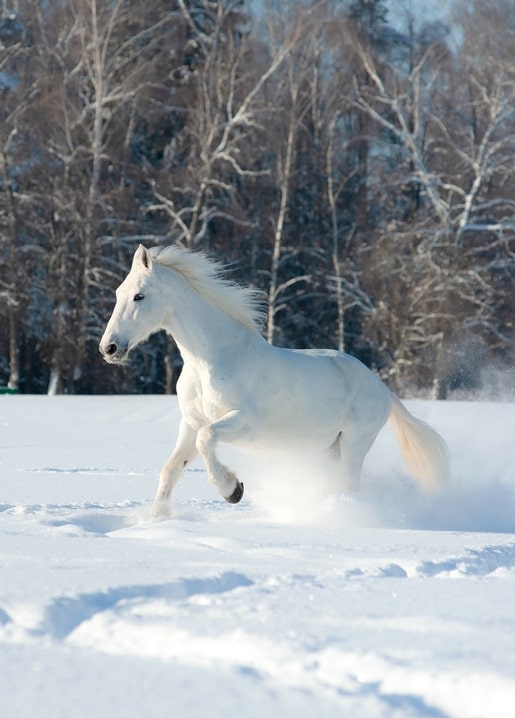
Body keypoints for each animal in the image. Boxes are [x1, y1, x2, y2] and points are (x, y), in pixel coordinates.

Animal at [99, 244, 450, 518]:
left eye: (139, 296)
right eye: (117, 293)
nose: (109, 348)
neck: (211, 360)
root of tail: (381, 388)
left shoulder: (244, 423)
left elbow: (207, 439)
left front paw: (233, 490)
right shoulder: (190, 422)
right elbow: (171, 468)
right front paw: (156, 520)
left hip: (355, 442)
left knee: (349, 485)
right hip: (328, 449)